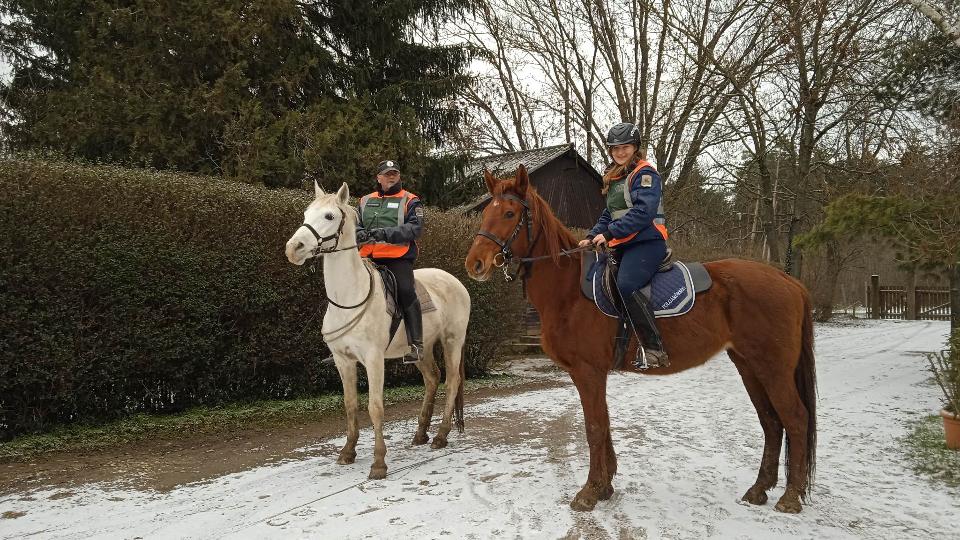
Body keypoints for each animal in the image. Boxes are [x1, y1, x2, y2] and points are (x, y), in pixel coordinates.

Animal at [284, 182, 470, 480]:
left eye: (329, 216)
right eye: (306, 213)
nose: (294, 248)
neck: (349, 298)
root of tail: (455, 281)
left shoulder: (373, 360)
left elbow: (375, 406)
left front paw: (379, 463)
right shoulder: (343, 361)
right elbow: (350, 405)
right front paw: (347, 452)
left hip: (452, 342)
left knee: (451, 382)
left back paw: (441, 436)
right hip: (421, 349)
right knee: (432, 378)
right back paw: (420, 434)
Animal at [464, 167, 816, 512]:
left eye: (509, 213)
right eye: (486, 213)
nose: (475, 264)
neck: (569, 291)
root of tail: (789, 281)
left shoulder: (588, 371)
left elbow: (594, 427)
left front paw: (589, 492)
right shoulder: (594, 374)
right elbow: (604, 424)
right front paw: (604, 487)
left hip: (773, 368)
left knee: (796, 419)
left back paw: (790, 497)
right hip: (749, 365)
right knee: (771, 421)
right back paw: (759, 489)